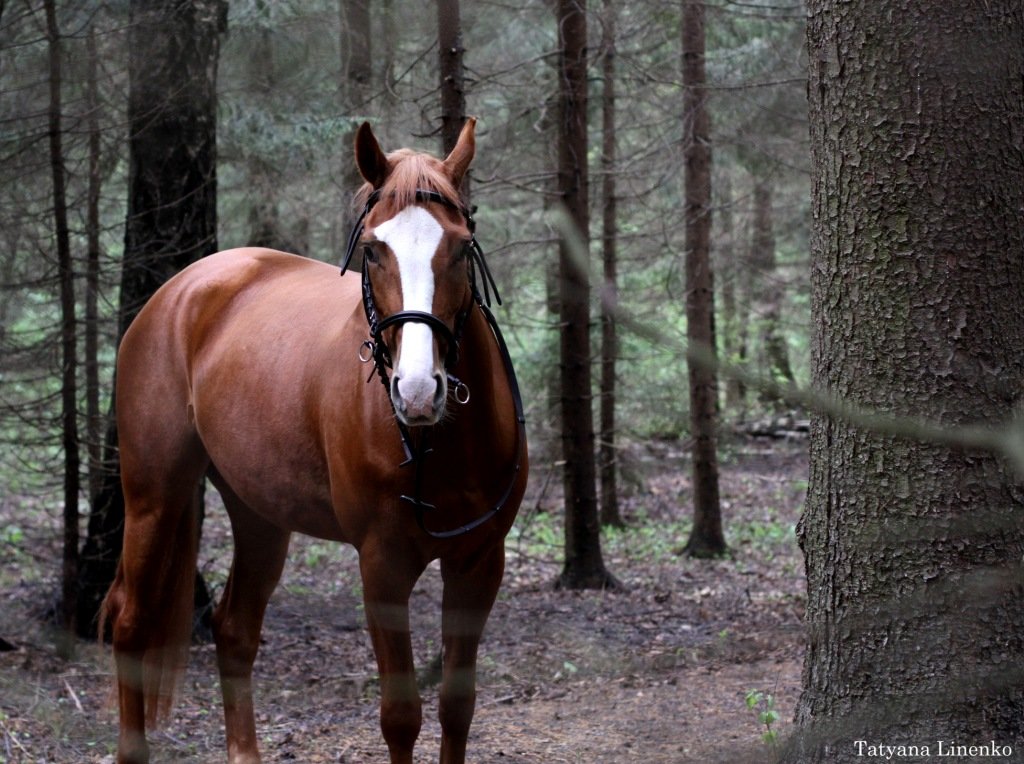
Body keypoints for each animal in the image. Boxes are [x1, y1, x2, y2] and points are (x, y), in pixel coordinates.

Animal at [100, 118, 532, 761]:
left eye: (459, 247)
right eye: (373, 250)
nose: (418, 390)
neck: (434, 447)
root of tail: (181, 290)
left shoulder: (479, 564)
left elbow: (457, 707)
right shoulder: (381, 567)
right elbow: (400, 716)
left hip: (259, 514)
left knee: (234, 630)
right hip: (155, 496)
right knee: (131, 624)